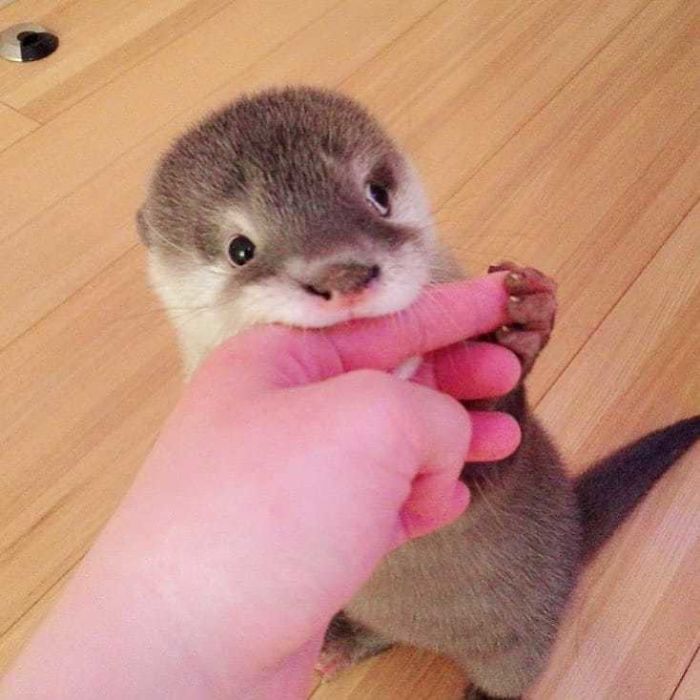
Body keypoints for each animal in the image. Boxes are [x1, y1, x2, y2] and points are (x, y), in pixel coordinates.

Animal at [137, 85, 700, 696]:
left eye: (377, 194)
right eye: (240, 248)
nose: (343, 274)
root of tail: (573, 536)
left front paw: (522, 327)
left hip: (525, 642)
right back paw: (340, 643)